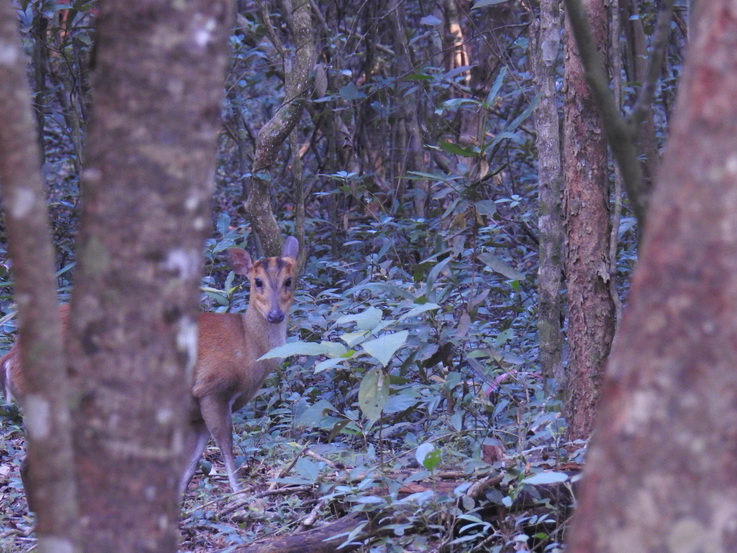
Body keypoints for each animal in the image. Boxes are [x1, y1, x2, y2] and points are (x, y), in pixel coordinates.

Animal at [1, 234, 300, 496]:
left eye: (289, 280)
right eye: (257, 281)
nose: (275, 315)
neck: (247, 347)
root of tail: (10, 360)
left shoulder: (196, 409)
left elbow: (190, 462)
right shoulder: (212, 387)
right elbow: (226, 444)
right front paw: (240, 495)